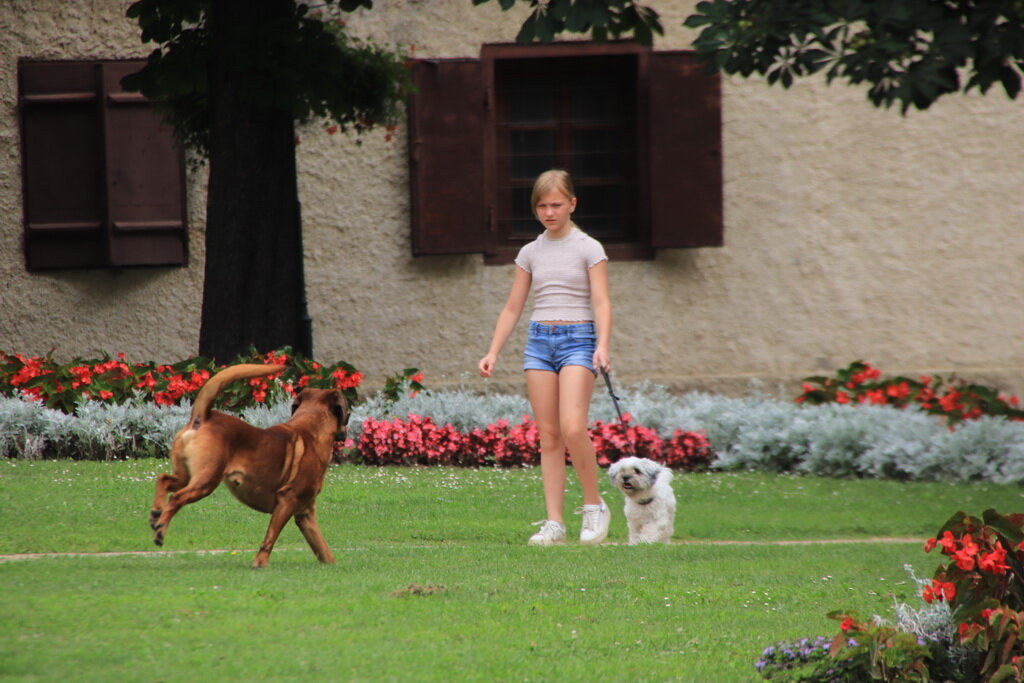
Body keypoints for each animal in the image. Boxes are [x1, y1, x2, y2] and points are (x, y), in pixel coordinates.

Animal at [149, 363, 349, 568]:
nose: (345, 434)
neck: (310, 429)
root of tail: (203, 416)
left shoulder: (305, 513)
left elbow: (321, 546)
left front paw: (331, 565)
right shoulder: (287, 501)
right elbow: (270, 537)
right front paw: (260, 563)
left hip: (186, 476)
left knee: (164, 479)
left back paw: (157, 511)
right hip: (205, 482)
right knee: (176, 498)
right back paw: (160, 530)